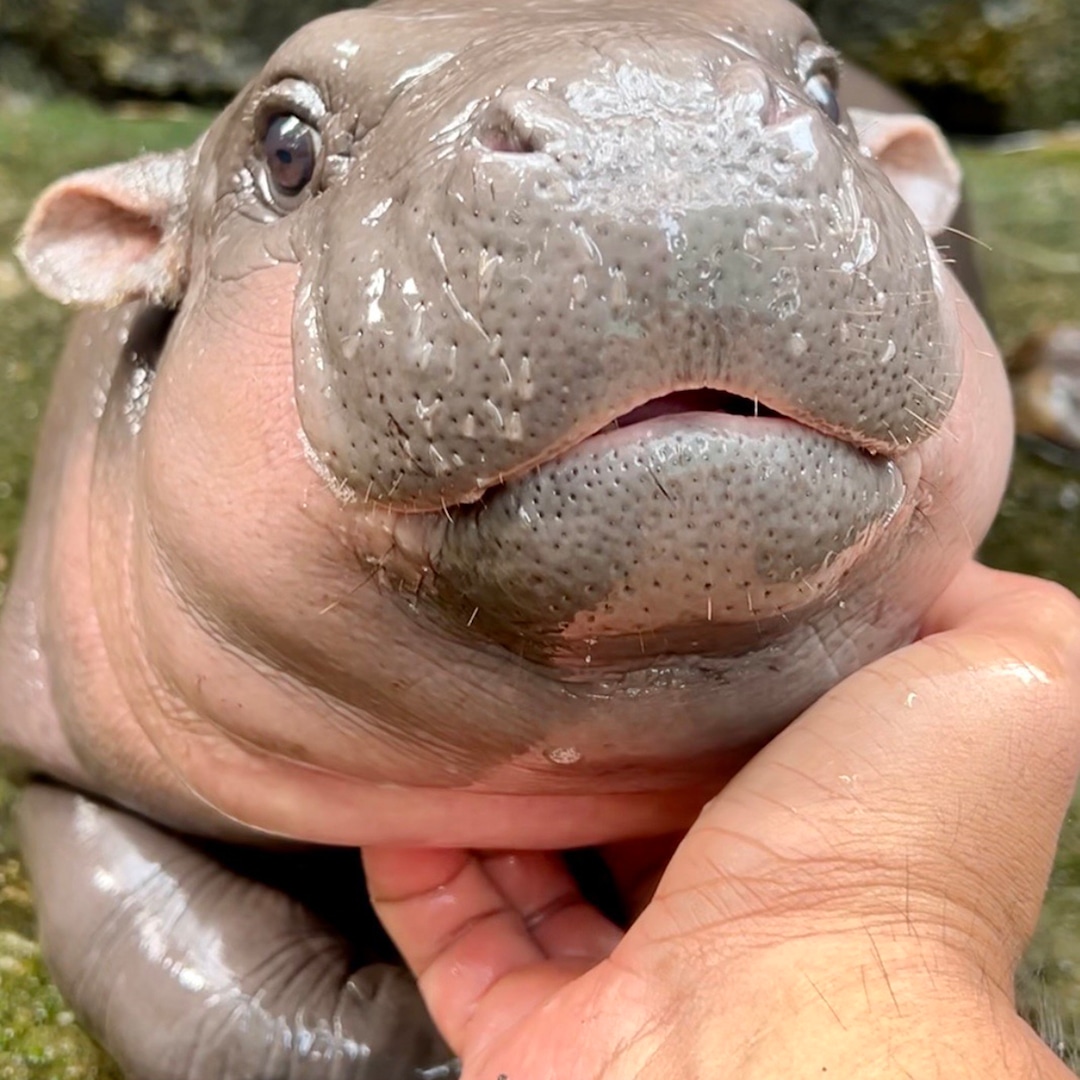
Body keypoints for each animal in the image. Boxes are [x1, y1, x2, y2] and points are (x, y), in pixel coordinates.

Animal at [1, 0, 1013, 1077]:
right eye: (283, 148)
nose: (648, 114)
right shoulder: (62, 762)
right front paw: (413, 1027)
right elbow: (182, 972)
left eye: (828, 90)